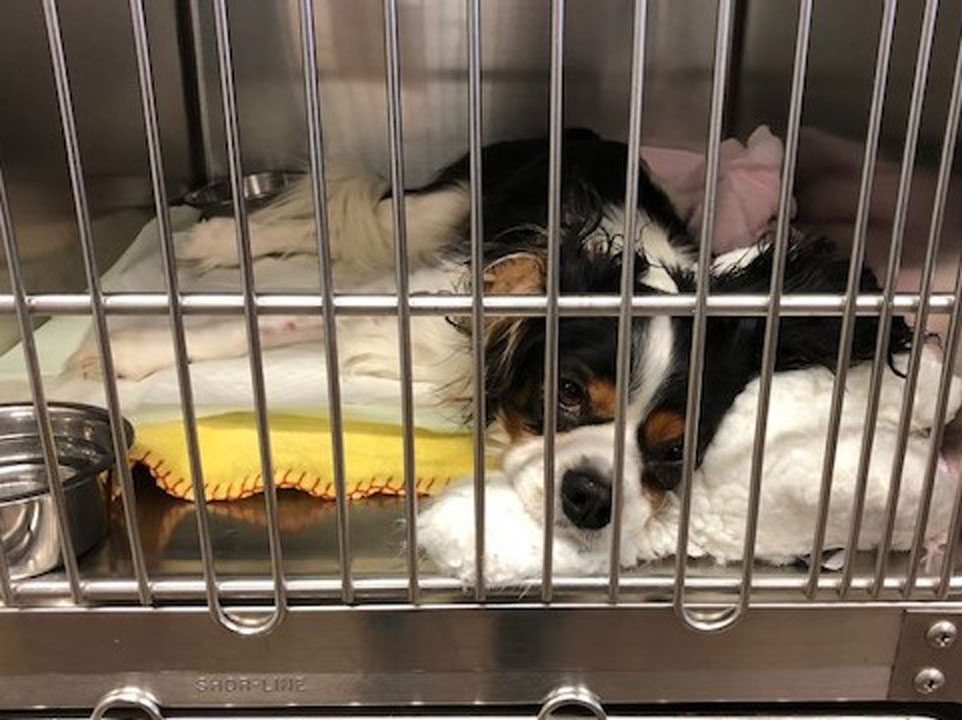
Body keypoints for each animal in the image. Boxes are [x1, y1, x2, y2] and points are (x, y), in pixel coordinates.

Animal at [67, 126, 908, 548]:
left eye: (672, 454)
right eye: (566, 392)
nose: (591, 498)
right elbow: (268, 321)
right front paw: (119, 351)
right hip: (444, 203)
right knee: (344, 215)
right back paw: (213, 241)